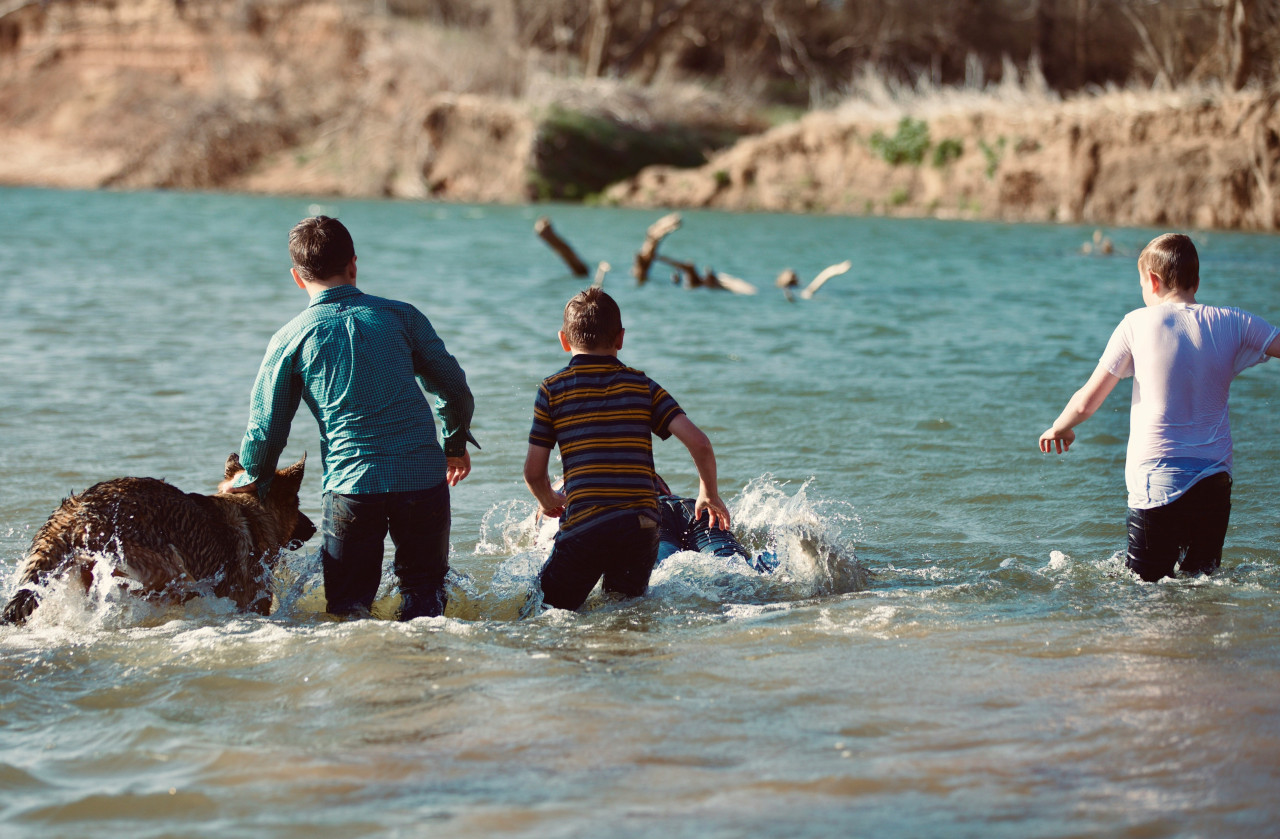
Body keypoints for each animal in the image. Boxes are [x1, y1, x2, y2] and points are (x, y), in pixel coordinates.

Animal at [1, 453, 314, 622]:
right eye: (298, 505)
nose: (313, 528)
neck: (252, 510)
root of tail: (76, 510)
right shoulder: (251, 601)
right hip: (174, 574)